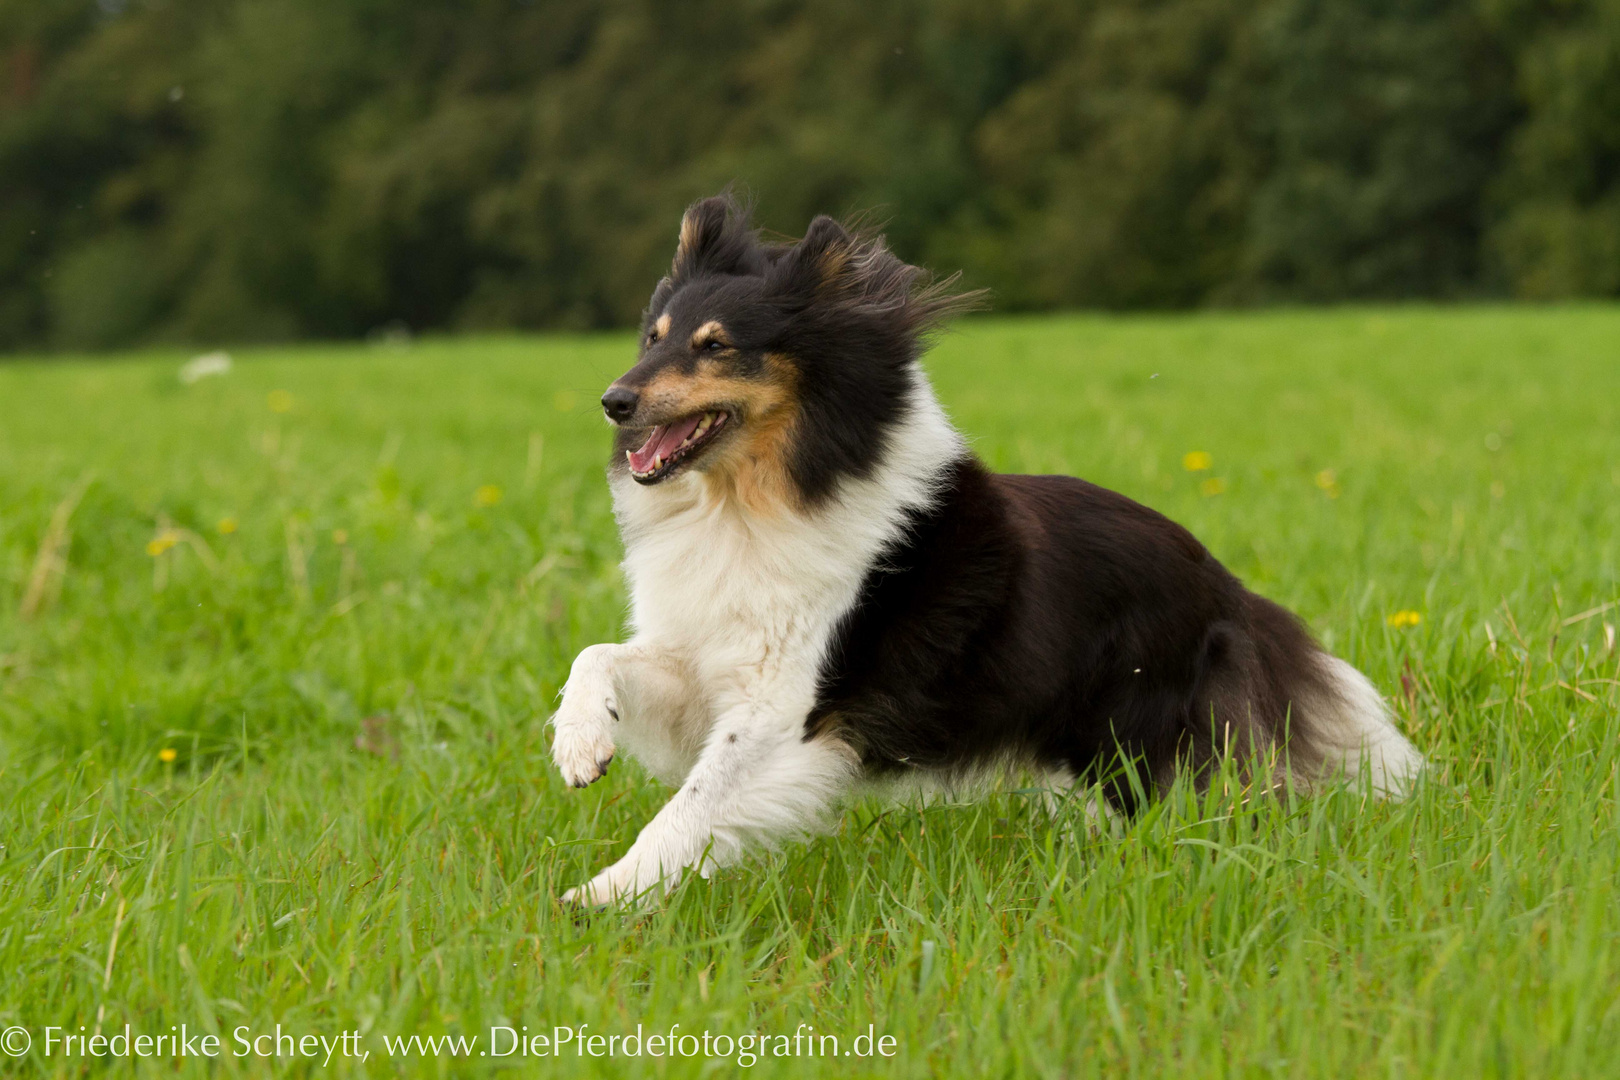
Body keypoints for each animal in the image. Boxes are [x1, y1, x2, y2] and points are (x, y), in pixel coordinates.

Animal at [550, 194, 1425, 906]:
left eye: (716, 345)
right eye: (653, 336)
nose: (613, 401)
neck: (755, 501)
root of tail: (1228, 586)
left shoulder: (787, 709)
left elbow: (695, 802)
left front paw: (602, 896)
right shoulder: (700, 664)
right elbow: (598, 656)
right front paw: (580, 747)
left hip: (1145, 739)